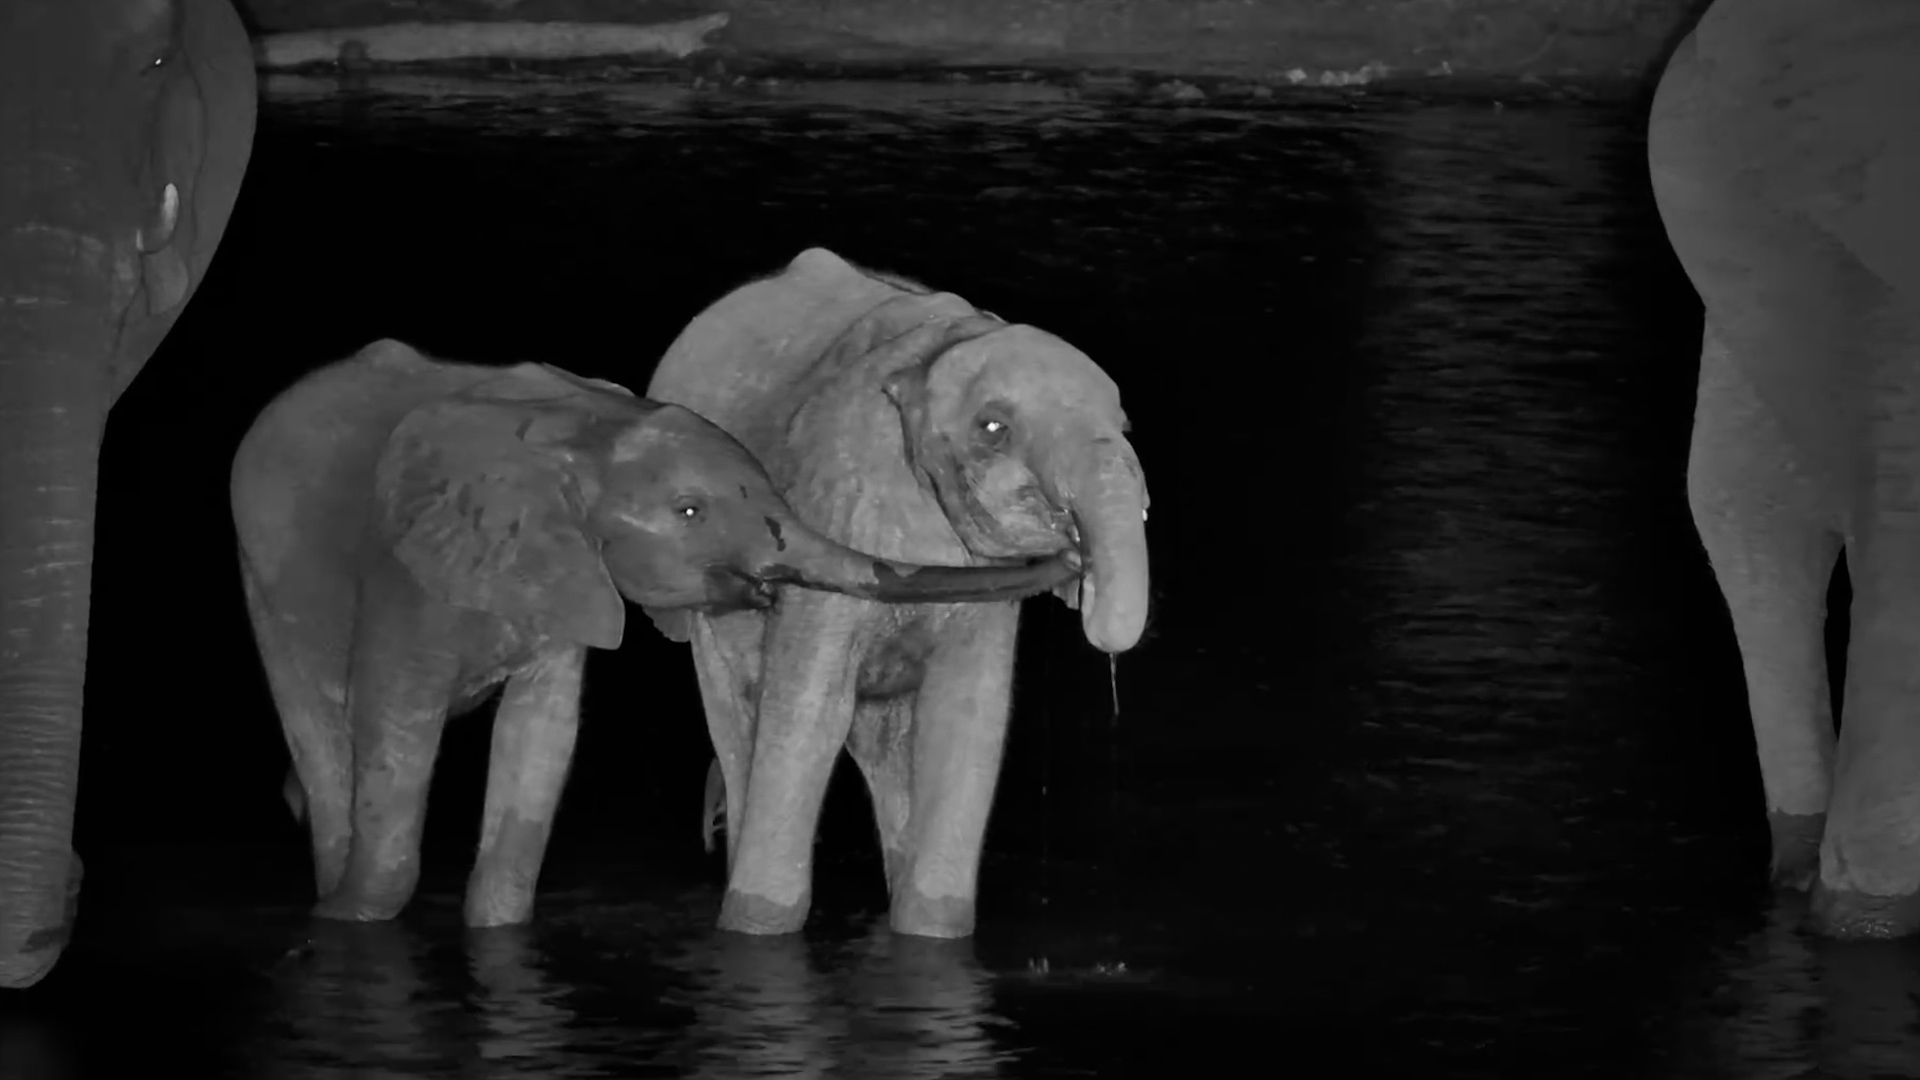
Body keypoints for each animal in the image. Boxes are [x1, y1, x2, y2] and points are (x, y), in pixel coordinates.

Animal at [232, 339, 1079, 928]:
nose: (1072, 555)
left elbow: (541, 737)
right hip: (262, 572)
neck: (583, 430)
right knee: (319, 727)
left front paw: (495, 925)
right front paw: (350, 918)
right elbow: (396, 727)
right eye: (690, 512)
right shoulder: (402, 571)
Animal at [646, 247, 1151, 938]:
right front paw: (758, 928)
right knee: (737, 709)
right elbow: (808, 709)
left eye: (1124, 425)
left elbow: (965, 714)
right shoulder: (837, 504)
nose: (1081, 567)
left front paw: (932, 933)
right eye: (994, 428)